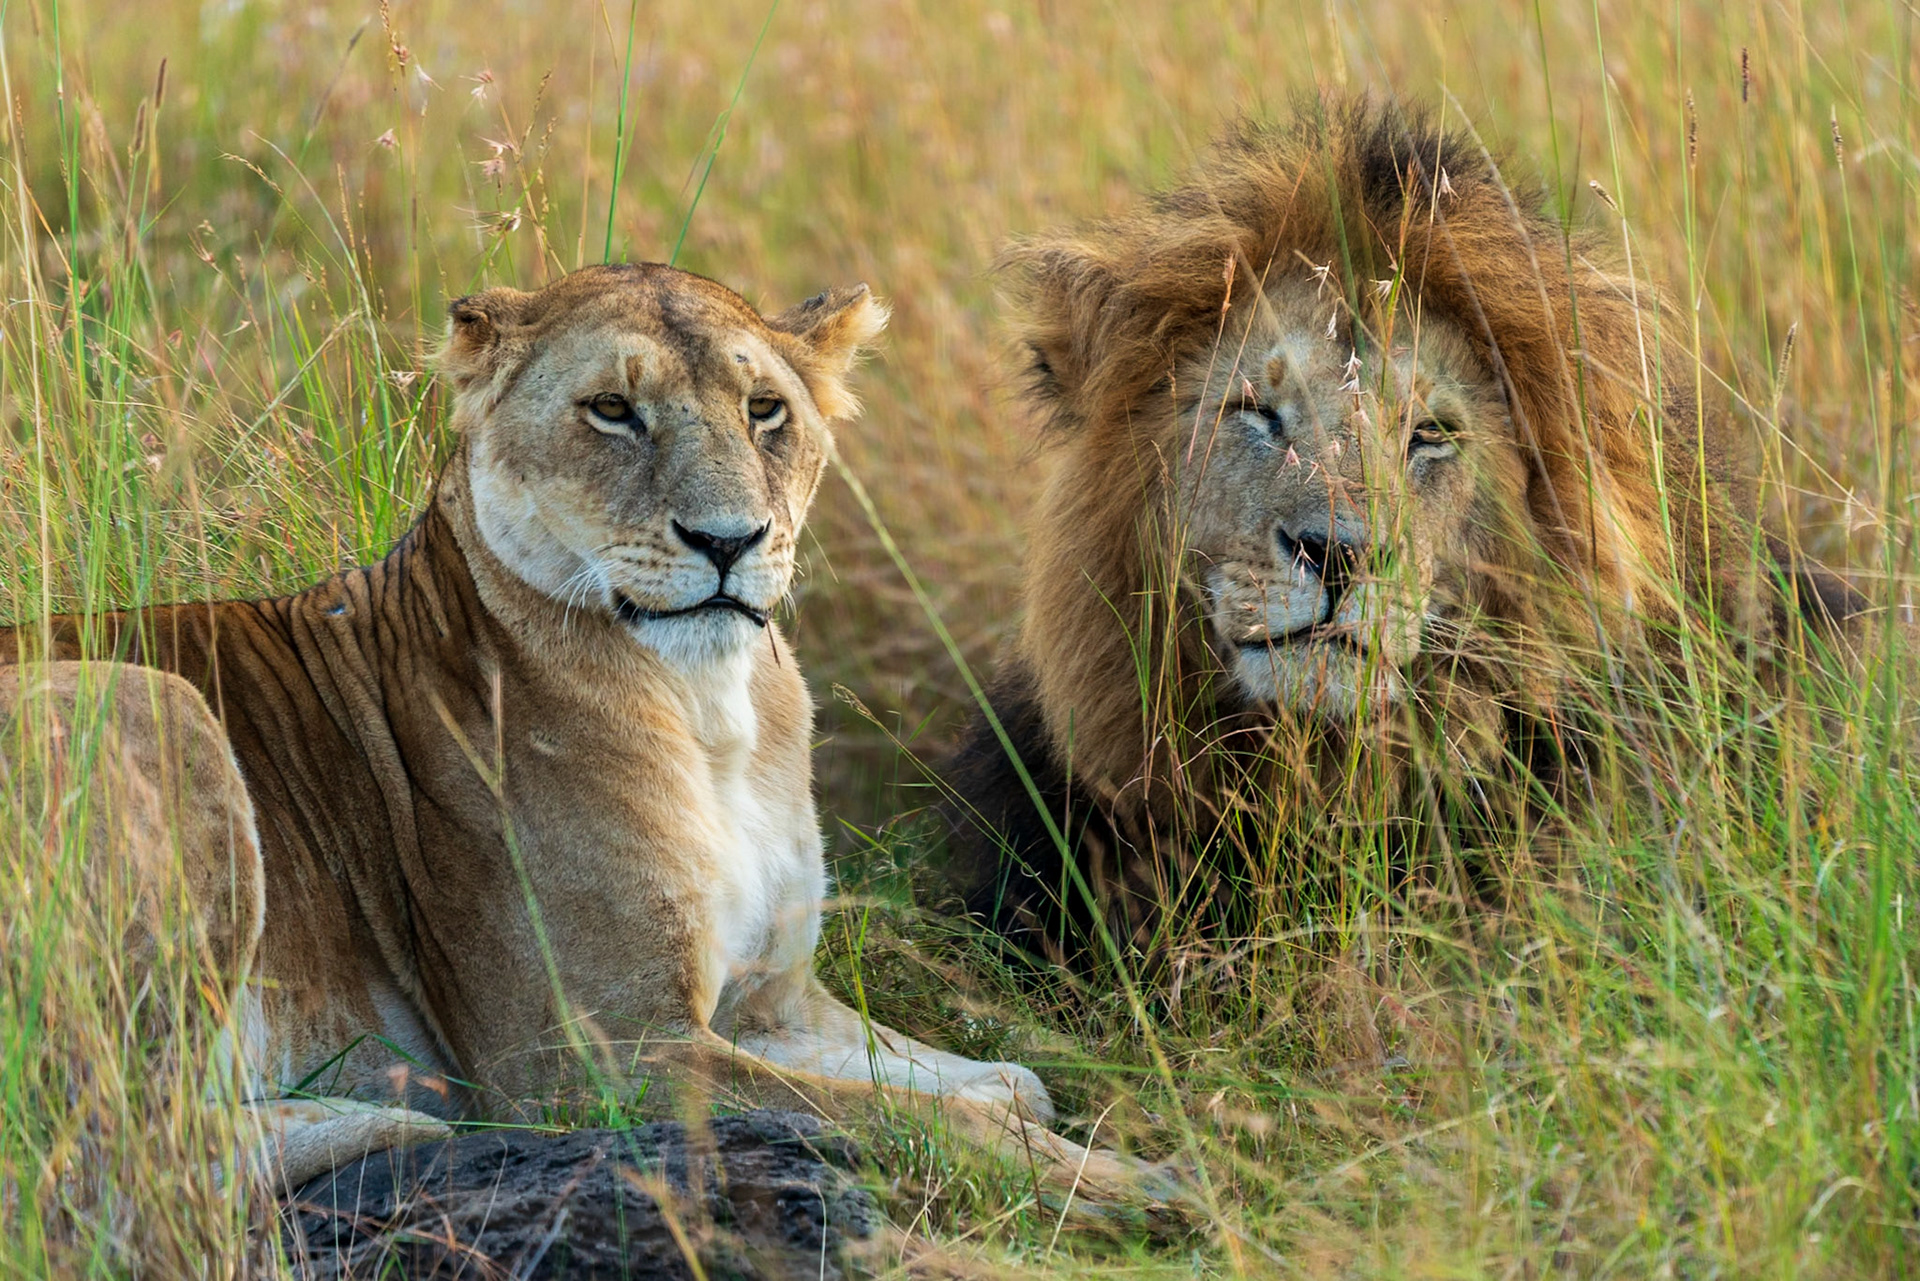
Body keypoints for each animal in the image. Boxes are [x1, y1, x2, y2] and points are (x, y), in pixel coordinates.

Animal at [1, 262, 1155, 1197]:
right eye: (611, 410)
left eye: (766, 410)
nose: (731, 540)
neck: (714, 711)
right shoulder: (590, 1055)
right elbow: (927, 1116)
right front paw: (1136, 1185)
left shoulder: (772, 1004)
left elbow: (1006, 1075)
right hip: (145, 699)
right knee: (104, 1157)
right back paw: (380, 1116)